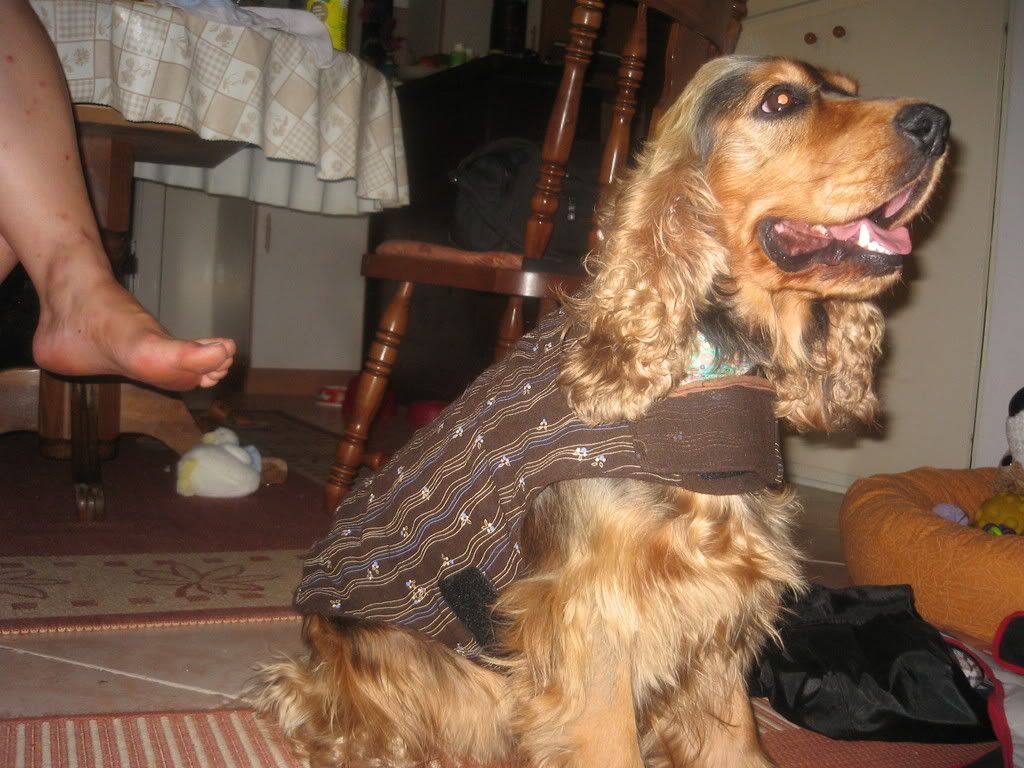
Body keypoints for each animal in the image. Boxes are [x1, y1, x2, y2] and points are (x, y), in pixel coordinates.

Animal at [254, 55, 949, 767]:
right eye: (780, 101)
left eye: (850, 91)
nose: (936, 123)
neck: (705, 365)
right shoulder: (593, 625)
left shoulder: (719, 604)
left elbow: (735, 741)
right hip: (440, 679)